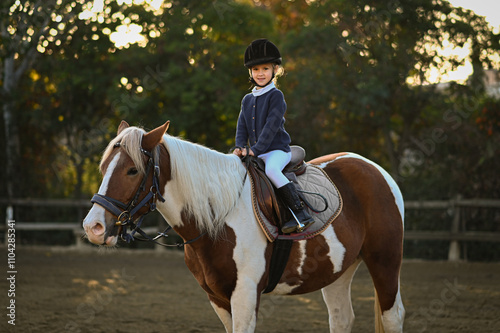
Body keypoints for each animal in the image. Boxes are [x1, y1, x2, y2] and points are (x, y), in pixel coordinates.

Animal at [82, 120, 404, 330]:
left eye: (132, 170)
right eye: (103, 167)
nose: (93, 227)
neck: (219, 217)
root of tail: (372, 167)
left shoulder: (245, 295)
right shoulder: (218, 298)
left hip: (385, 262)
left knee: (393, 316)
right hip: (339, 272)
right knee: (341, 318)